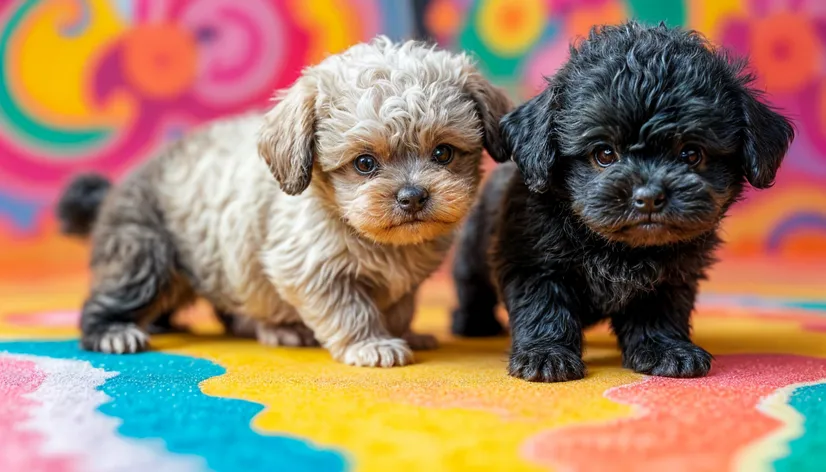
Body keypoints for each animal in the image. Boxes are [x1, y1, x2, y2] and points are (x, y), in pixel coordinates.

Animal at [56, 37, 508, 368]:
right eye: (364, 163)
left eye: (443, 154)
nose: (412, 196)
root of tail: (117, 187)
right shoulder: (310, 270)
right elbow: (352, 310)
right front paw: (372, 343)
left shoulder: (403, 286)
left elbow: (399, 308)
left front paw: (404, 332)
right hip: (144, 257)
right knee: (104, 302)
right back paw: (114, 332)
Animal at [450, 23, 792, 384]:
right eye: (604, 153)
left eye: (691, 154)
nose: (649, 196)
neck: (617, 247)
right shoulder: (533, 264)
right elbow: (544, 307)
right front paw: (545, 354)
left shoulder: (672, 275)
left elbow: (660, 312)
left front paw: (666, 349)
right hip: (472, 253)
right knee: (472, 286)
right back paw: (474, 322)